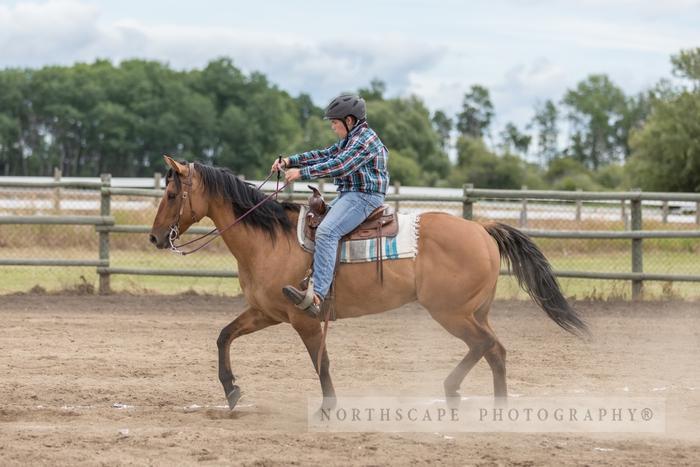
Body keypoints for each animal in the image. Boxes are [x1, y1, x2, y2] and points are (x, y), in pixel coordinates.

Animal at [150, 156, 588, 410]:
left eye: (171, 193)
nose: (155, 238)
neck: (270, 240)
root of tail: (481, 229)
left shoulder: (305, 317)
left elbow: (321, 361)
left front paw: (329, 407)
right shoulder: (266, 312)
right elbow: (224, 335)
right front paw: (231, 390)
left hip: (452, 313)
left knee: (485, 346)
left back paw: (452, 390)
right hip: (474, 311)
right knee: (496, 351)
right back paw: (496, 409)